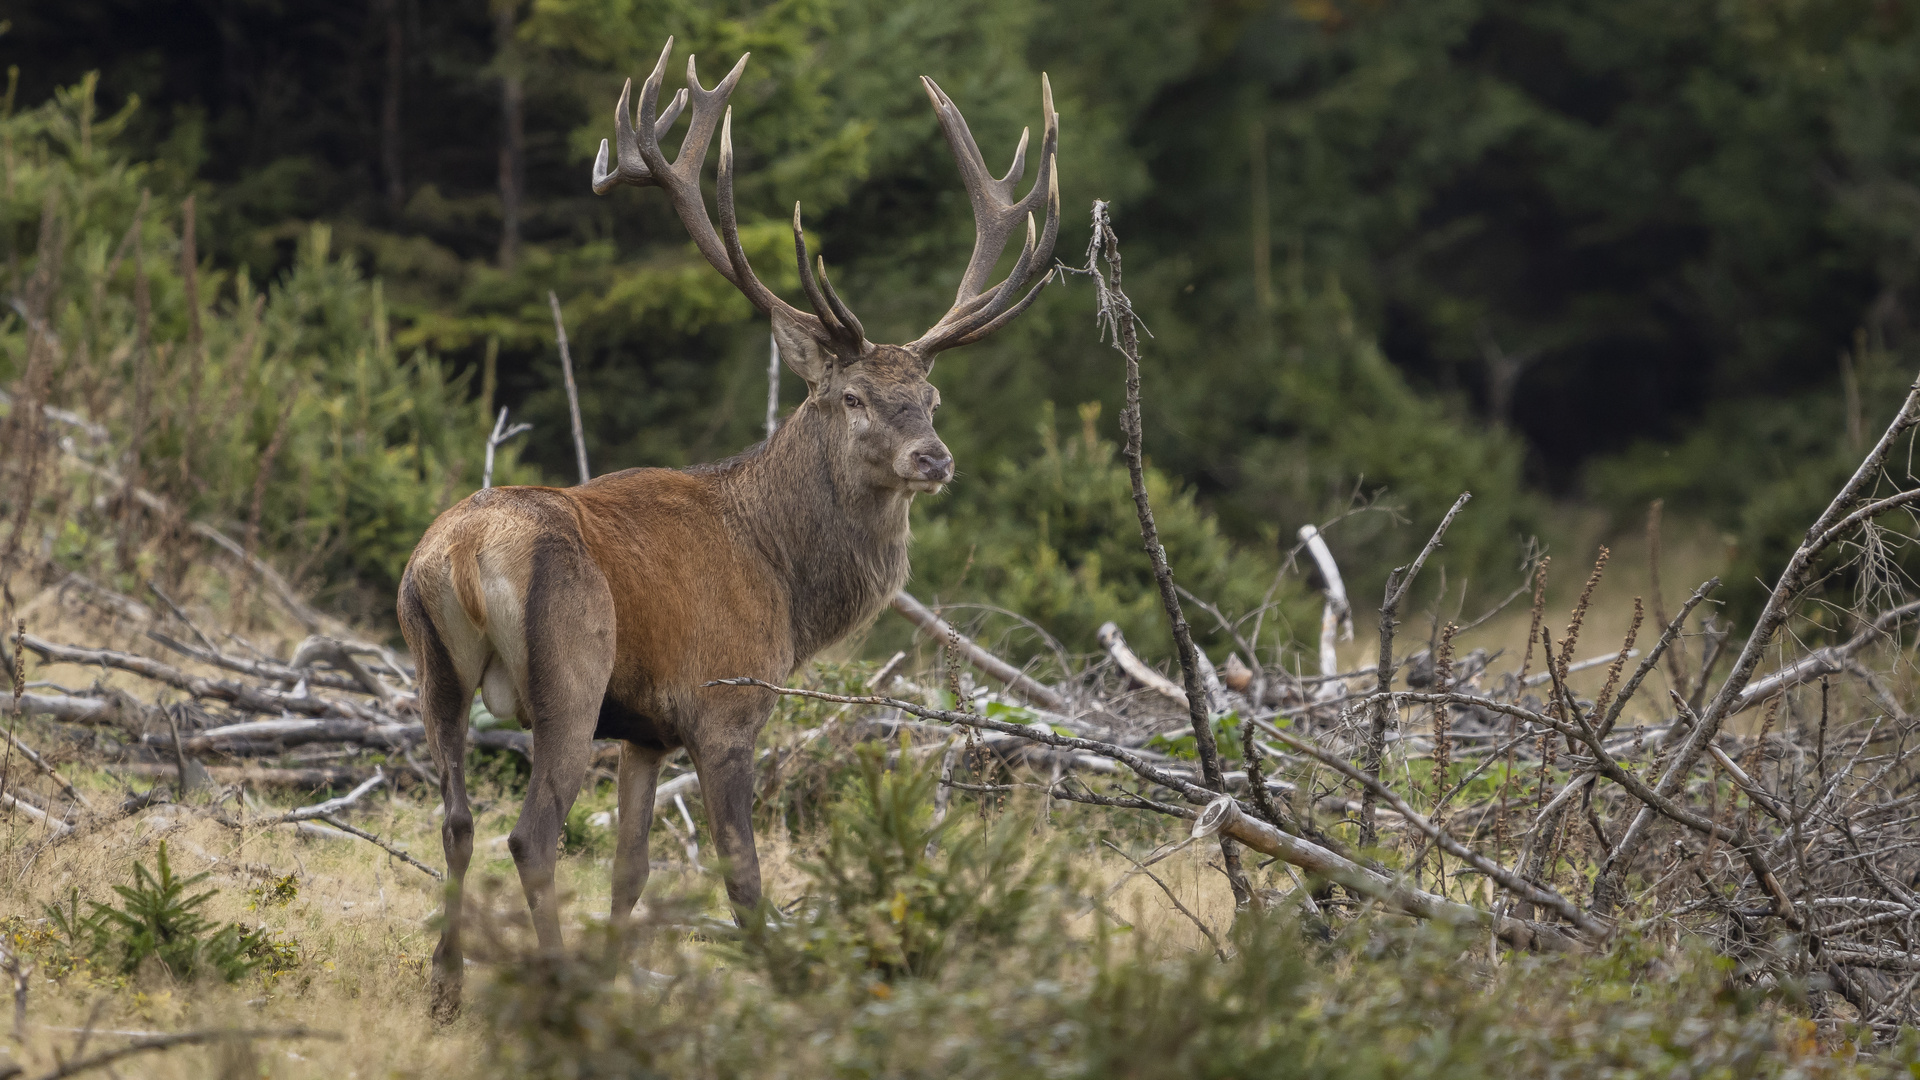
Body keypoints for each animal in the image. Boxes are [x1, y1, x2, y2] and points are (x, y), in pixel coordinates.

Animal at [399, 37, 1067, 1014]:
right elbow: (743, 875)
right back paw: (553, 985)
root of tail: (456, 555)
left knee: (453, 819)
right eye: (852, 396)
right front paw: (783, 985)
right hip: (570, 669)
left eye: (931, 398)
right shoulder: (726, 703)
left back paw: (447, 990)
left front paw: (622, 973)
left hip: (433, 671)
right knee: (531, 835)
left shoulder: (645, 729)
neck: (786, 579)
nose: (933, 459)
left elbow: (632, 871)